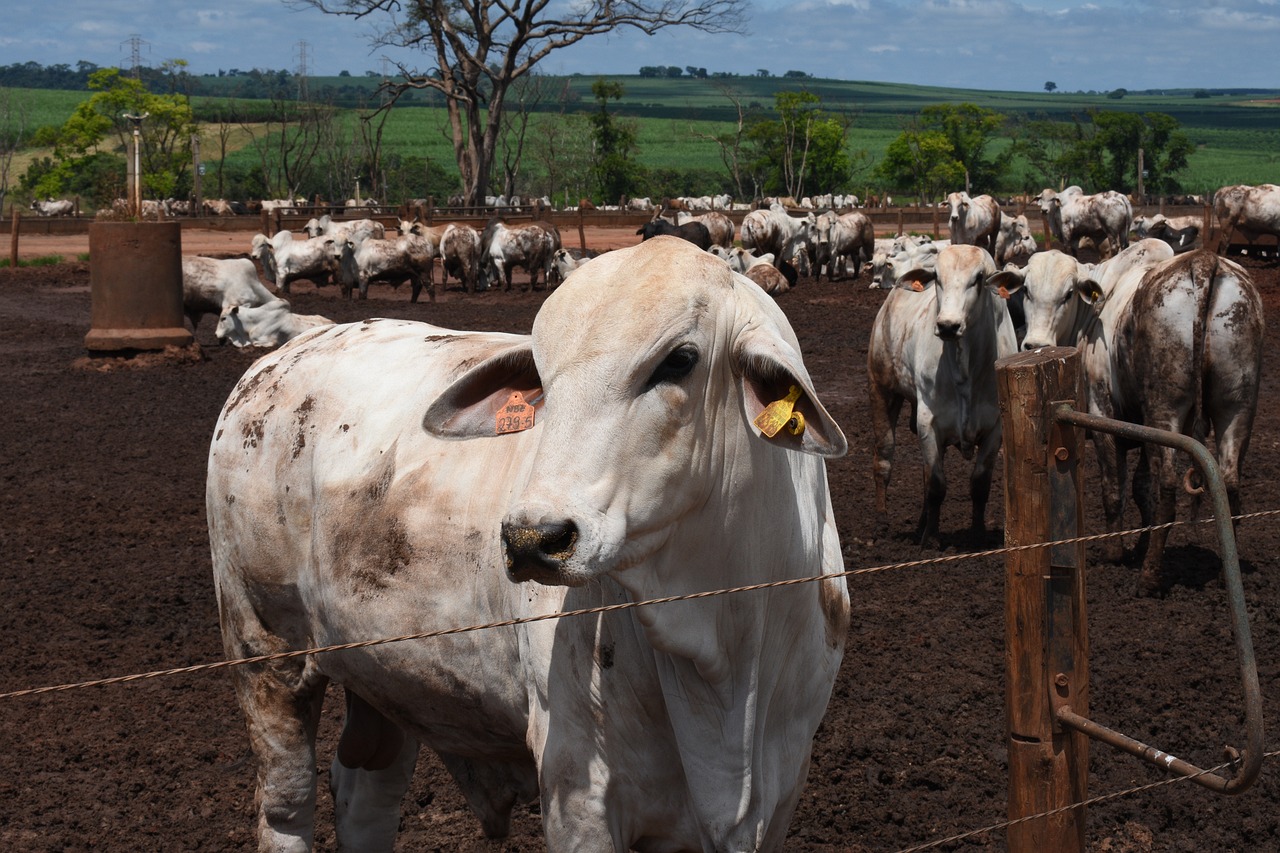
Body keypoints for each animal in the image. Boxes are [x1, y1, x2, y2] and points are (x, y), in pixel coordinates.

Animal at [207, 234, 849, 850]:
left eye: (681, 359)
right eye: (541, 375)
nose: (532, 539)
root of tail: (276, 361)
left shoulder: (781, 792)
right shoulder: (579, 792)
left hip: (384, 677)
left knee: (367, 796)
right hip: (265, 654)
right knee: (287, 806)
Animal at [865, 242, 1013, 540]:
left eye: (978, 278)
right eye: (937, 278)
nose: (947, 325)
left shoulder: (996, 428)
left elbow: (979, 484)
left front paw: (977, 534)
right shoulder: (928, 421)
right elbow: (936, 483)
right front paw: (931, 538)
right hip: (882, 389)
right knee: (884, 457)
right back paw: (882, 520)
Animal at [988, 239, 1259, 591]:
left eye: (1068, 294)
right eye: (1027, 291)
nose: (1035, 344)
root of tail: (1204, 263)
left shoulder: (1103, 412)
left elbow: (1114, 488)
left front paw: (1114, 552)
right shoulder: (1143, 430)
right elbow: (1141, 488)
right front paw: (1139, 542)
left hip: (1165, 408)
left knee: (1167, 486)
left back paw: (1150, 576)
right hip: (1237, 407)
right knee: (1229, 483)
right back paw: (1223, 576)